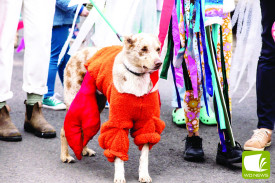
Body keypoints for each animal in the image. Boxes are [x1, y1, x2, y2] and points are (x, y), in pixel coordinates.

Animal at [60, 33, 165, 183]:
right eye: (143, 49)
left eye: (158, 49)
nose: (158, 63)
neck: (137, 79)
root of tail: (81, 50)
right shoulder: (118, 123)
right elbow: (118, 154)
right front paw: (119, 176)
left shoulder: (147, 124)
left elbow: (144, 156)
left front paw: (144, 175)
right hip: (74, 102)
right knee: (65, 130)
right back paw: (65, 156)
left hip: (95, 107)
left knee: (84, 127)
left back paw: (84, 150)